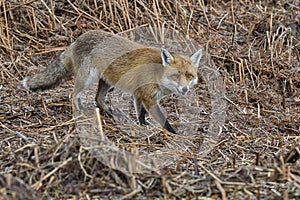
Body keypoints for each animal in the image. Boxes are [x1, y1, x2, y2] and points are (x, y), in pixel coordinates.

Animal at [22, 30, 203, 134]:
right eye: (176, 76)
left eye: (189, 75)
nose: (185, 89)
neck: (157, 73)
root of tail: (77, 39)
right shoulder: (148, 97)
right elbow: (163, 120)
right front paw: (174, 134)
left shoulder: (139, 94)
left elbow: (140, 114)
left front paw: (141, 125)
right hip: (88, 79)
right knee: (73, 95)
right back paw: (79, 113)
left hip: (107, 81)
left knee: (98, 99)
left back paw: (113, 114)